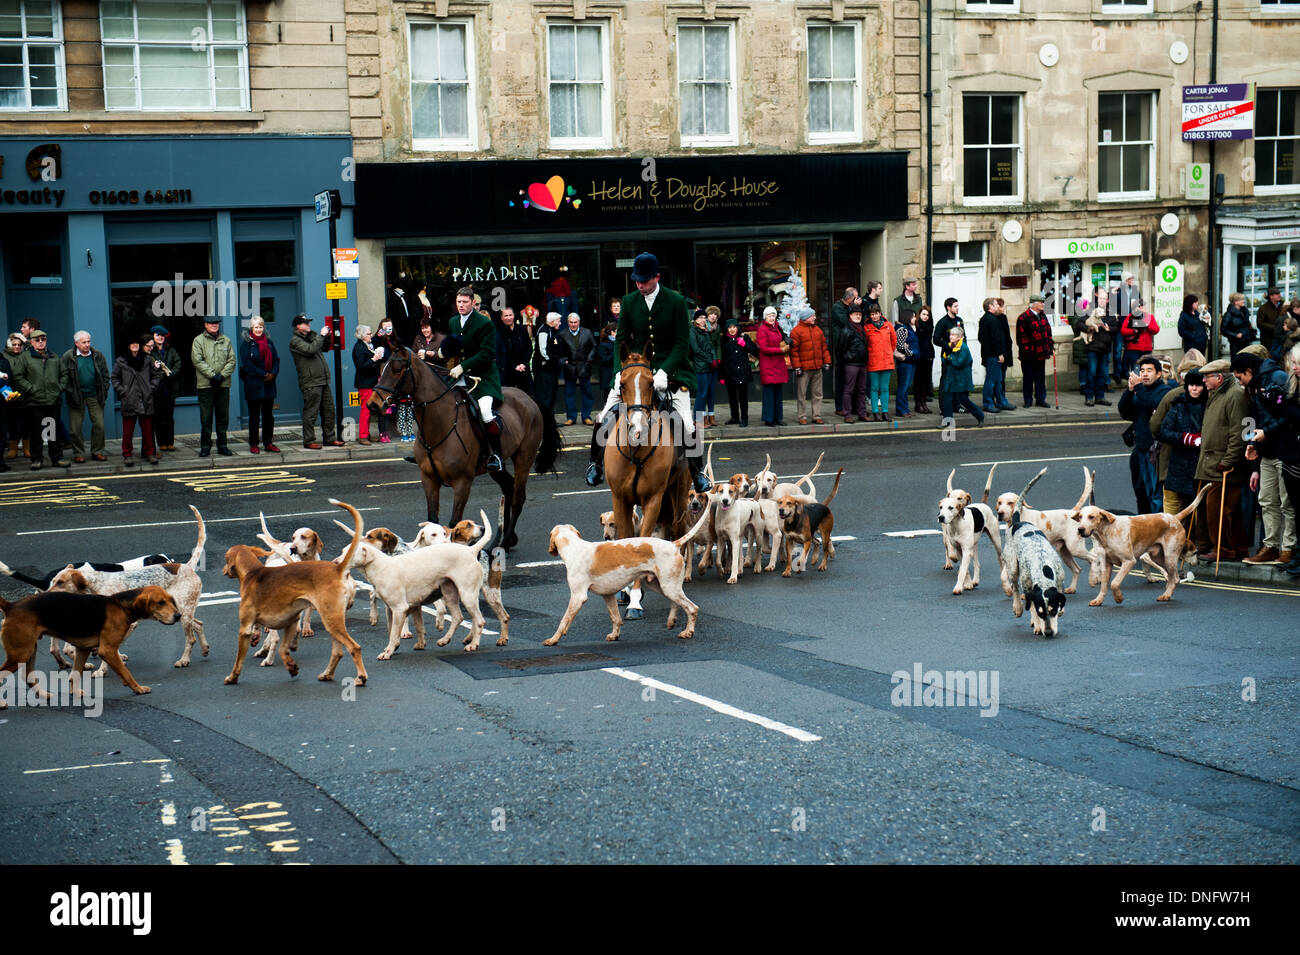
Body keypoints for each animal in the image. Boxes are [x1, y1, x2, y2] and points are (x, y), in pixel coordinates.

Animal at [371, 345, 564, 553]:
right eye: (381, 368)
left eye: (397, 369)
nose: (372, 405)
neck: (441, 422)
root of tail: (529, 398)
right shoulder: (429, 478)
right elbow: (432, 520)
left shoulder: (462, 481)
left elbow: (454, 522)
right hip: (496, 467)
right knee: (508, 489)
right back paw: (501, 542)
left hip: (524, 458)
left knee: (518, 497)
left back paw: (504, 543)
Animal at [605, 348, 691, 548]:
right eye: (622, 384)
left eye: (651, 384)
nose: (638, 426)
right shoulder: (620, 499)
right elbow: (626, 537)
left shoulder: (653, 500)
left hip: (680, 493)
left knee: (679, 530)